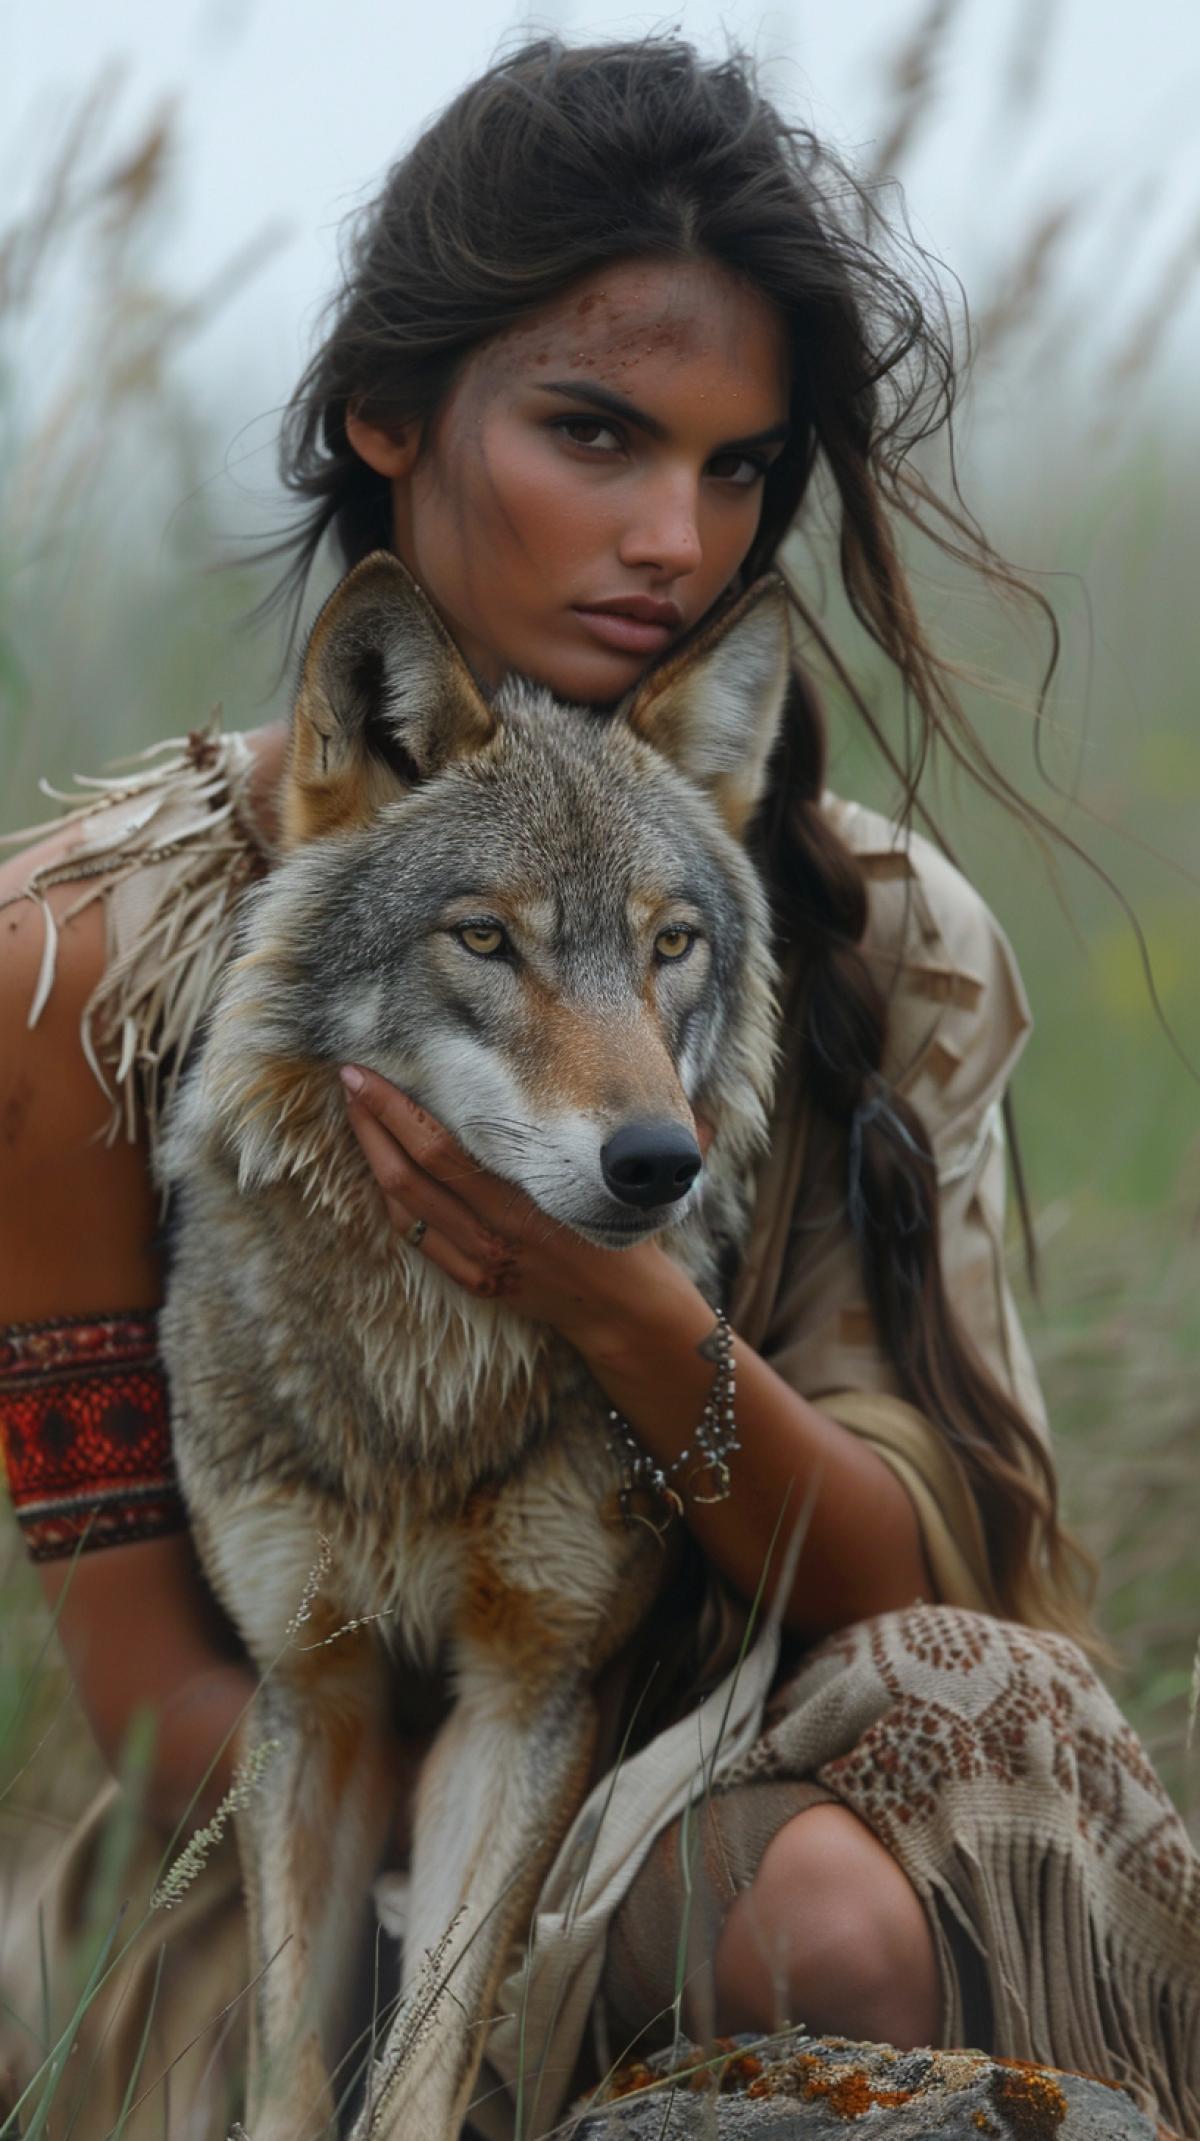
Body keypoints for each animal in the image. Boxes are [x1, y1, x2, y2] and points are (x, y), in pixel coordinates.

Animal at [158, 551, 791, 2140]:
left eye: (669, 944)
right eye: (488, 938)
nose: (658, 1164)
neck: (420, 1379)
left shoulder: (526, 1697)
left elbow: (424, 2063)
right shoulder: (310, 1697)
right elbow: (289, 2072)